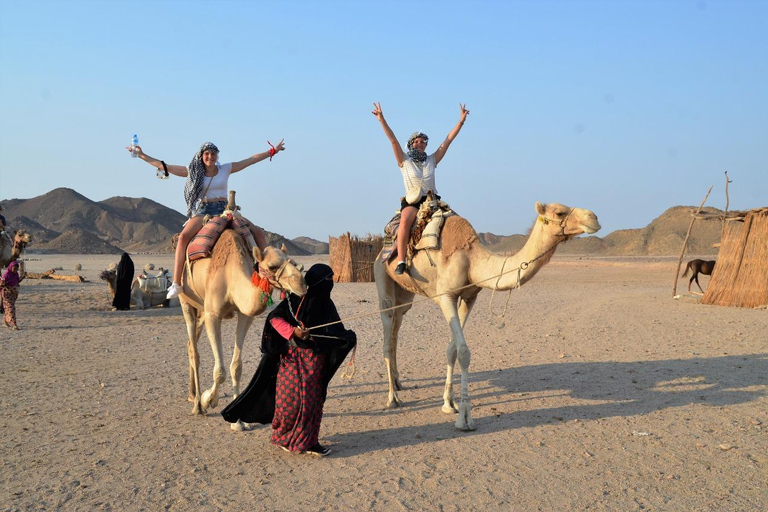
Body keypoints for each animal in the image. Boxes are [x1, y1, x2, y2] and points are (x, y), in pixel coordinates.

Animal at [179, 228, 306, 418]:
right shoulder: (212, 314)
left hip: (200, 309)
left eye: (293, 261)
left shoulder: (245, 316)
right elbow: (220, 371)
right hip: (186, 301)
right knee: (194, 351)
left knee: (189, 345)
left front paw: (237, 419)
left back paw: (191, 394)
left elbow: (236, 367)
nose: (301, 284)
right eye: (272, 266)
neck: (230, 276)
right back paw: (197, 405)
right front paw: (208, 400)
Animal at [374, 201, 600, 430]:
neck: (472, 261)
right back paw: (392, 398)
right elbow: (464, 352)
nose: (594, 217)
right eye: (560, 212)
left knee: (396, 328)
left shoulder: (469, 297)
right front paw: (465, 417)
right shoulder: (446, 296)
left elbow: (452, 349)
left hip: (406, 295)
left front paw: (449, 403)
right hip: (382, 277)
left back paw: (398, 383)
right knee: (387, 334)